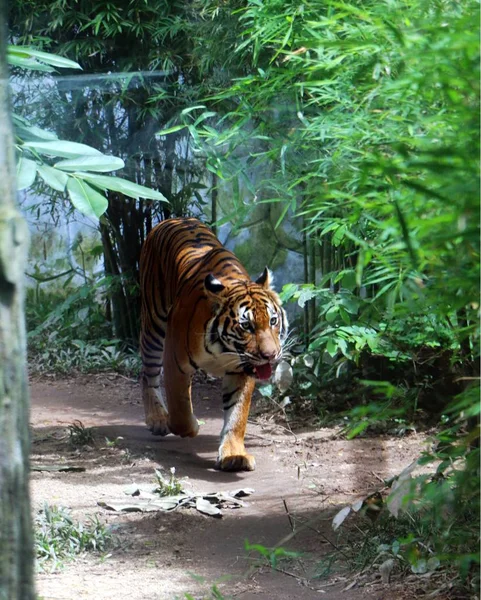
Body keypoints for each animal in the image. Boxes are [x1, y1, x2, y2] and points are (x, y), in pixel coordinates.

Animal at [141, 218, 286, 472]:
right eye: (246, 326)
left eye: (273, 321)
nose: (271, 355)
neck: (225, 350)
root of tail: (171, 219)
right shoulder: (175, 362)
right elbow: (180, 406)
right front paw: (189, 427)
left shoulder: (242, 370)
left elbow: (237, 415)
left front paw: (234, 455)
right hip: (154, 325)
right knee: (147, 376)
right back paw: (157, 419)